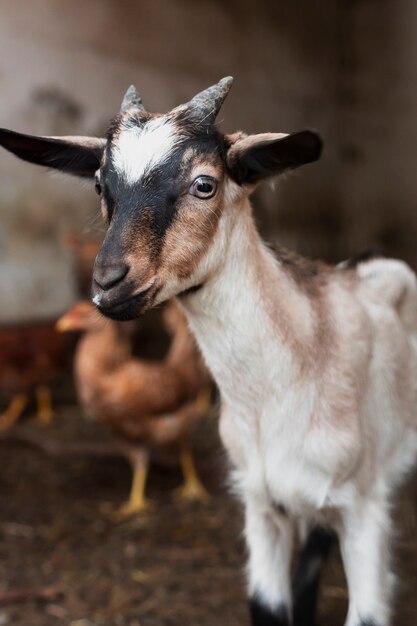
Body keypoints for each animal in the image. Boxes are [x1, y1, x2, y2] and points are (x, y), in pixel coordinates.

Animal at [0, 78, 416, 624]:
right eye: (99, 185)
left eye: (205, 184)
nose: (109, 282)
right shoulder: (262, 503)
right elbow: (268, 605)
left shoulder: (363, 506)